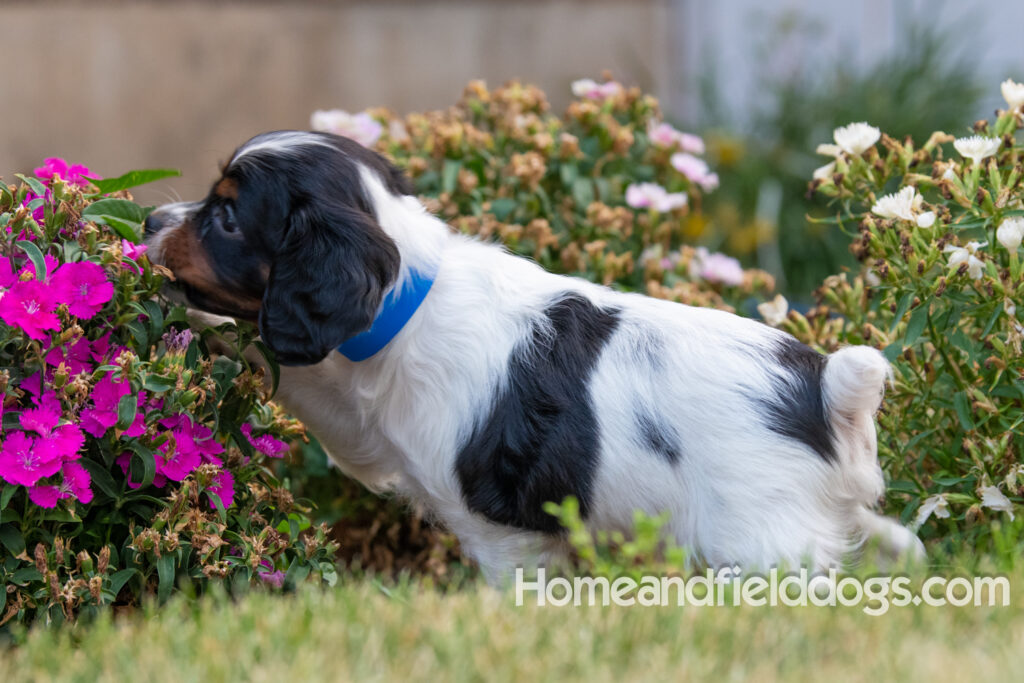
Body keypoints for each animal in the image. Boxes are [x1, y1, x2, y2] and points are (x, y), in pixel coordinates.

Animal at [146, 129, 929, 581]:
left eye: (225, 217)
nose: (151, 219)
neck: (412, 294)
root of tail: (825, 389)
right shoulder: (360, 417)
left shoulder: (500, 534)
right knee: (887, 537)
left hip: (759, 540)